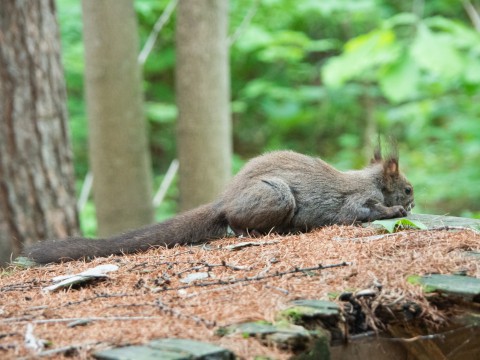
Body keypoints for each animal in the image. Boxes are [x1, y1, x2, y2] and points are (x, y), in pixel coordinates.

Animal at [20, 147, 414, 264]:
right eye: (408, 189)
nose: (413, 203)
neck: (371, 180)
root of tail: (225, 199)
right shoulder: (356, 201)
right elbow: (362, 213)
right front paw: (395, 212)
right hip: (276, 197)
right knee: (238, 225)